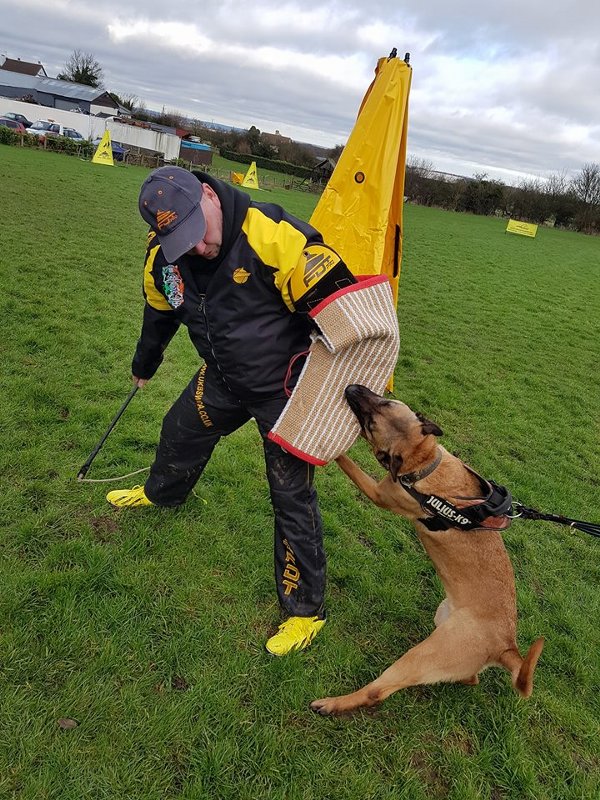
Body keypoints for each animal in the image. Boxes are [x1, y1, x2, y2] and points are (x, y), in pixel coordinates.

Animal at [310, 384, 544, 716]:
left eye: (372, 421)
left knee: (377, 691)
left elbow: (350, 465)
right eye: (386, 403)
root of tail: (506, 646)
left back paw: (332, 704)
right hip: (441, 620)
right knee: (471, 678)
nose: (352, 387)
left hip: (420, 656)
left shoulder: (379, 493)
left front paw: (331, 452)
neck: (423, 462)